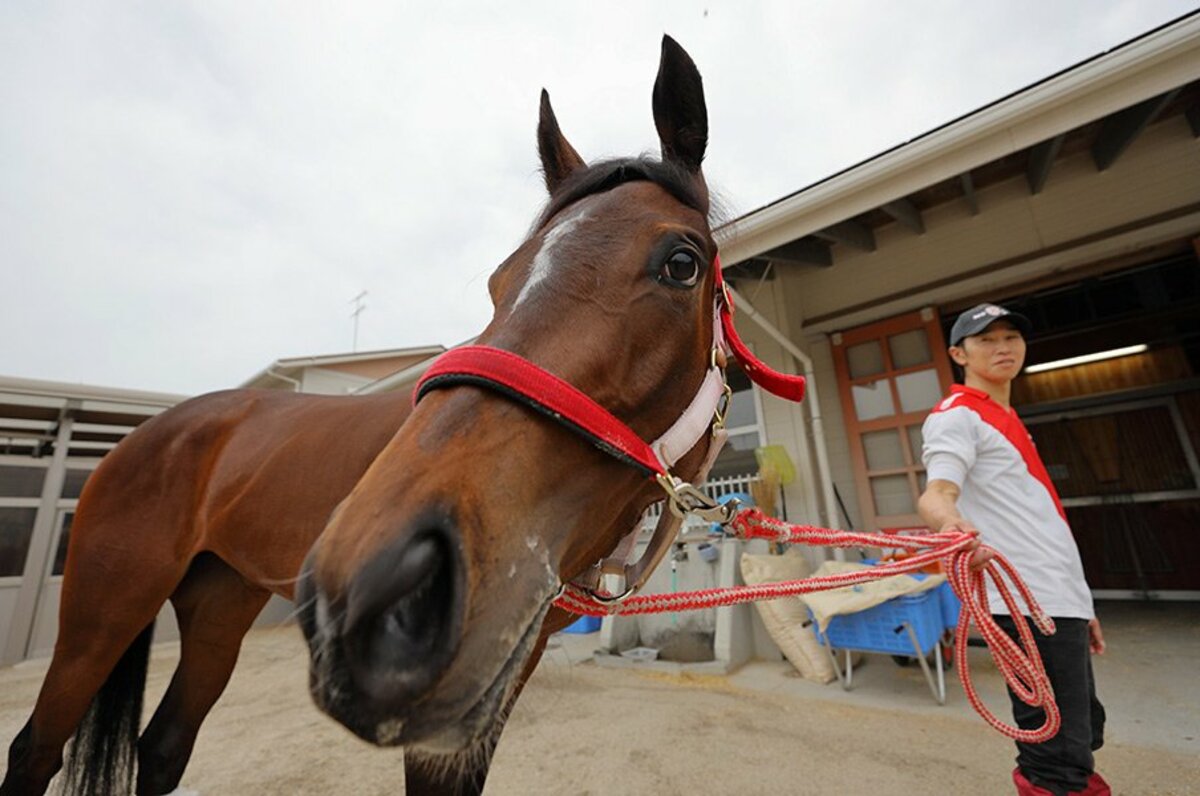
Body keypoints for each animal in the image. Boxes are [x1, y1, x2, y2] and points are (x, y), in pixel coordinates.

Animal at [2, 34, 720, 792]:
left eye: (681, 263)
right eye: (500, 280)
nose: (377, 589)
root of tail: (140, 439)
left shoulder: (498, 670)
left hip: (219, 604)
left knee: (165, 743)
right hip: (101, 615)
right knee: (36, 750)